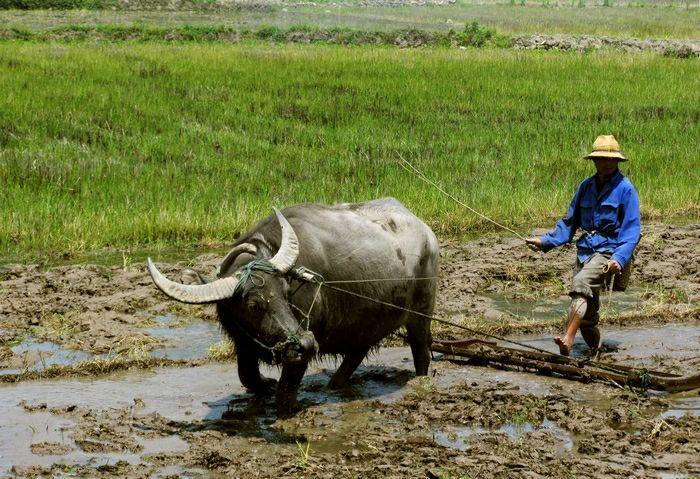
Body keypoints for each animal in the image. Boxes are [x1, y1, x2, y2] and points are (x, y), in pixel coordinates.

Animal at [149, 197, 438, 414]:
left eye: (285, 291)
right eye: (252, 305)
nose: (306, 343)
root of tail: (425, 231)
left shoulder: (298, 352)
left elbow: (285, 393)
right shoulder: (243, 343)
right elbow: (247, 376)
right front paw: (265, 384)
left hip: (421, 314)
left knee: (421, 352)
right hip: (367, 320)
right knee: (357, 351)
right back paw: (333, 385)